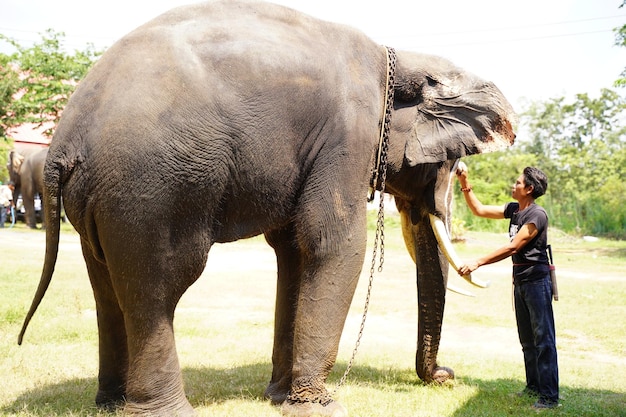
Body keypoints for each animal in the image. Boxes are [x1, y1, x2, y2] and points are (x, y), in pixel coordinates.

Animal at [19, 1, 516, 414]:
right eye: (450, 162)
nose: (447, 376)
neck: (394, 56)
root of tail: (63, 141)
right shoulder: (346, 135)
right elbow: (334, 244)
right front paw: (320, 407)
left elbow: (294, 250)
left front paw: (281, 398)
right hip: (149, 188)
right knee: (157, 287)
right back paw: (165, 410)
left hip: (97, 199)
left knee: (106, 285)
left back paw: (110, 404)